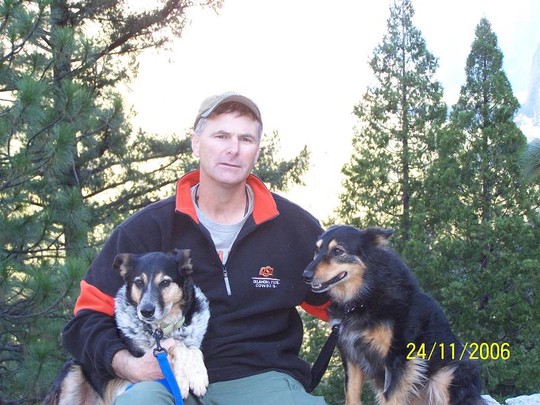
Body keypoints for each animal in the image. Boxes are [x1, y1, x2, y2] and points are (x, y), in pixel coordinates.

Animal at [44, 249, 210, 404]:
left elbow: (193, 350)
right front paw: (181, 381)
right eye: (139, 282)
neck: (161, 328)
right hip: (71, 373)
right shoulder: (144, 354)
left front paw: (198, 375)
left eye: (165, 282)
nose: (146, 311)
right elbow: (178, 347)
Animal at [303, 226, 485, 405]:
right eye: (317, 250)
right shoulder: (351, 355)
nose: (305, 275)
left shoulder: (397, 359)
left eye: (338, 251)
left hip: (446, 377)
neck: (362, 297)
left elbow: (389, 397)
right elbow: (351, 395)